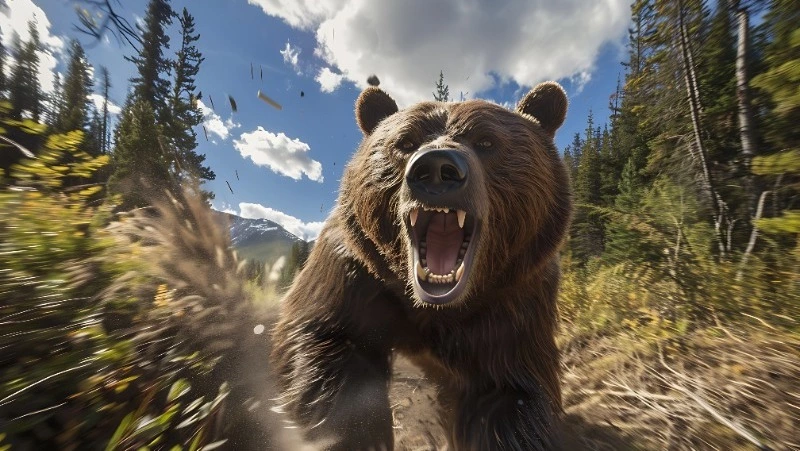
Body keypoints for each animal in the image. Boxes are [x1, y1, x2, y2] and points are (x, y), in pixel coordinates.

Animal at [271, 81, 572, 451]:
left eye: (487, 141)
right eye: (405, 142)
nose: (438, 168)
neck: (430, 308)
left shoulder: (514, 299)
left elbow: (511, 396)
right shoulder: (353, 273)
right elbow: (323, 342)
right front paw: (358, 432)